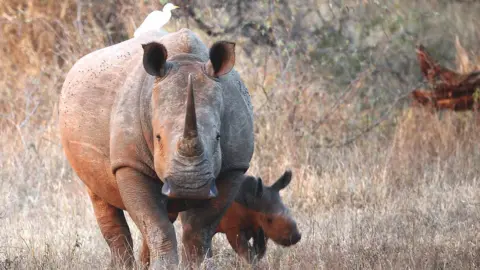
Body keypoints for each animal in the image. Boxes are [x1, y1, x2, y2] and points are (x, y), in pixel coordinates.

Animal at [58, 28, 255, 268]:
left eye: (218, 137)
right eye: (158, 137)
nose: (190, 186)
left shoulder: (233, 167)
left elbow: (200, 226)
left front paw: (197, 266)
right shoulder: (130, 164)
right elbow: (155, 222)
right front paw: (165, 267)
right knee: (100, 197)